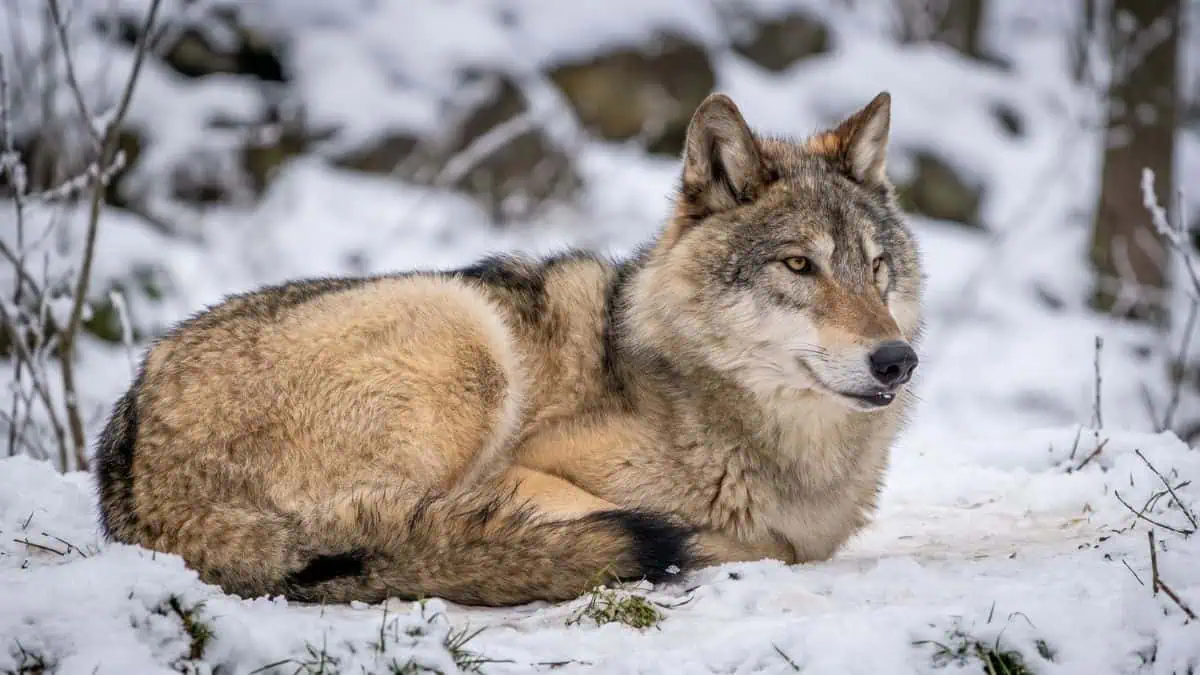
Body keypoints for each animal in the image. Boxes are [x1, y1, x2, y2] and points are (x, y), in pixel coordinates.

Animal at [94, 91, 923, 607]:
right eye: (799, 265)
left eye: (877, 267)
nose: (897, 359)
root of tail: (133, 478)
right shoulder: (535, 467)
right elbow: (747, 541)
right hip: (465, 335)